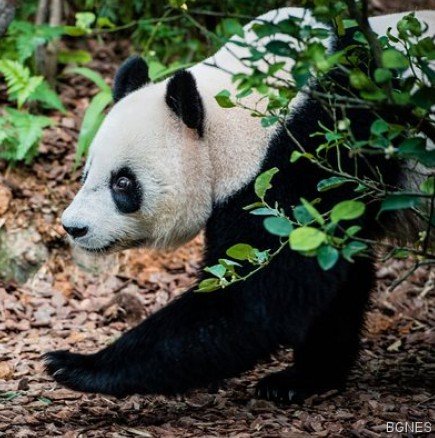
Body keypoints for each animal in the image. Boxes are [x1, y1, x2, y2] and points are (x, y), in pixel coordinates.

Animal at [44, 7, 435, 404]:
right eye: (86, 173)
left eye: (123, 183)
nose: (74, 227)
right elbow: (336, 278)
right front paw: (304, 377)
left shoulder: (314, 152)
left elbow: (254, 297)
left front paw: (77, 365)